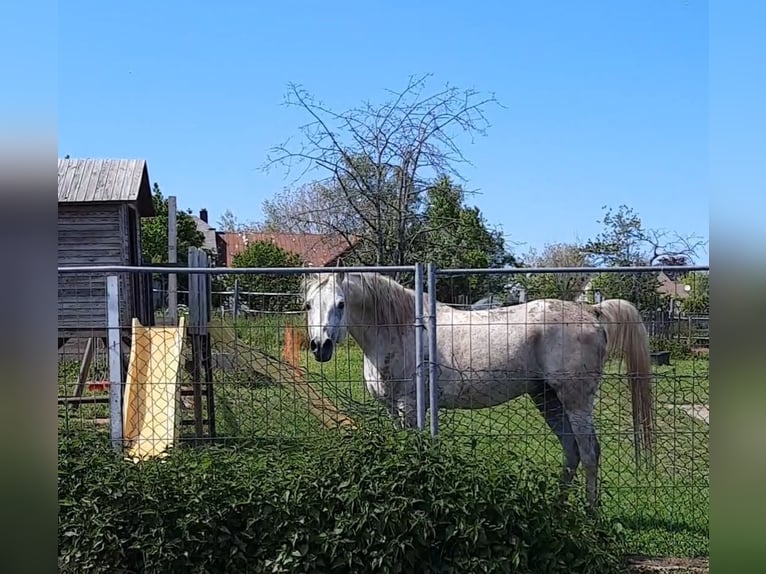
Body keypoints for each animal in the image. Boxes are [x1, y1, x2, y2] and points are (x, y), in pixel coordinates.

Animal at [302, 271, 654, 510]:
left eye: (341, 304)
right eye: (308, 305)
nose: (321, 346)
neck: (400, 328)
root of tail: (591, 312)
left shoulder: (410, 408)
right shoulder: (393, 409)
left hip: (576, 401)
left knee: (590, 453)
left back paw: (590, 514)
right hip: (548, 399)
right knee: (573, 452)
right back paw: (558, 509)